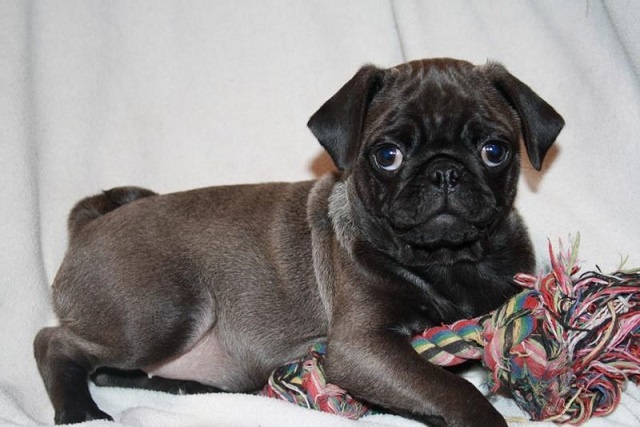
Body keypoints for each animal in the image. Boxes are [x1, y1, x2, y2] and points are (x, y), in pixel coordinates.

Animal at [36, 57, 564, 427]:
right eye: (387, 155)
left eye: (494, 151)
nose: (444, 171)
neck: (449, 262)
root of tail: (92, 223)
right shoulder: (361, 348)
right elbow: (452, 389)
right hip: (162, 314)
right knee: (55, 343)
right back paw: (80, 411)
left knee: (108, 368)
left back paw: (187, 390)